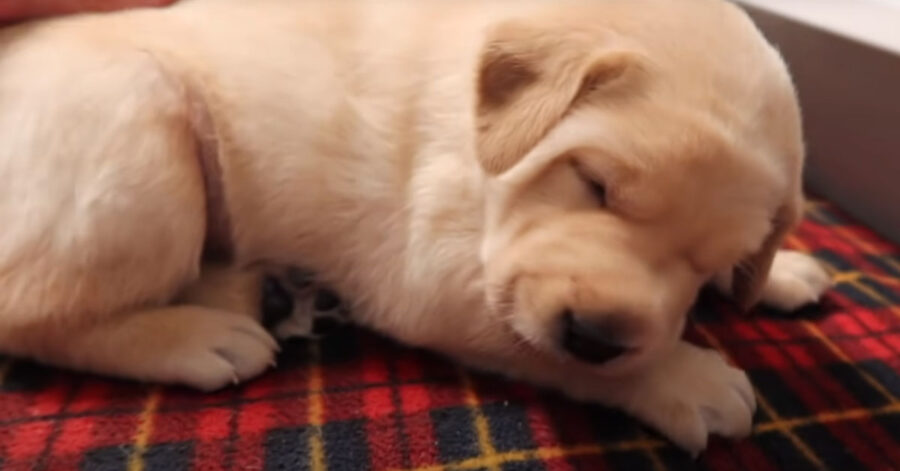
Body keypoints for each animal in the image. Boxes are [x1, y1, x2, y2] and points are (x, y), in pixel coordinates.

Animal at [0, 0, 828, 458]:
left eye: (708, 258)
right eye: (595, 183)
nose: (595, 333)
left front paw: (778, 271)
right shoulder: (431, 276)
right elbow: (544, 348)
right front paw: (686, 377)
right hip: (137, 127)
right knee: (32, 310)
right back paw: (201, 336)